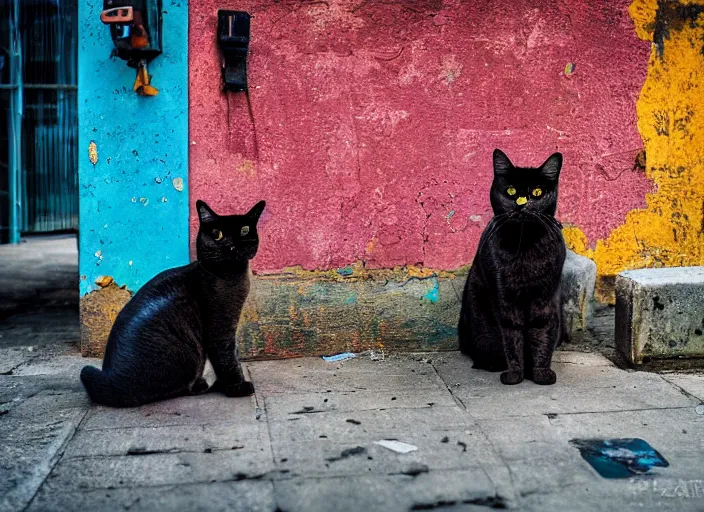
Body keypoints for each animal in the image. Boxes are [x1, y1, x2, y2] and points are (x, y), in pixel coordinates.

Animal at [80, 198, 266, 406]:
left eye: (244, 230)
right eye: (217, 234)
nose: (231, 246)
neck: (230, 278)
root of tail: (114, 383)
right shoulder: (220, 329)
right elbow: (227, 359)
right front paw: (237, 387)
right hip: (188, 355)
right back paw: (202, 385)